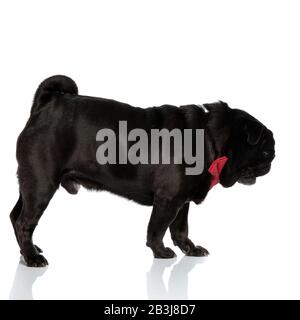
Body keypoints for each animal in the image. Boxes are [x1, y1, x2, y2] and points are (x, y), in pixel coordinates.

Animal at [10, 76, 276, 266]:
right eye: (265, 152)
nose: (272, 162)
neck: (210, 136)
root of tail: (47, 104)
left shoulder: (182, 202)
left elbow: (180, 229)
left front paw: (190, 249)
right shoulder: (168, 200)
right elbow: (156, 229)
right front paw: (161, 252)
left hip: (30, 184)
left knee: (15, 216)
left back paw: (27, 251)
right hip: (42, 185)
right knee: (25, 221)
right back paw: (32, 257)